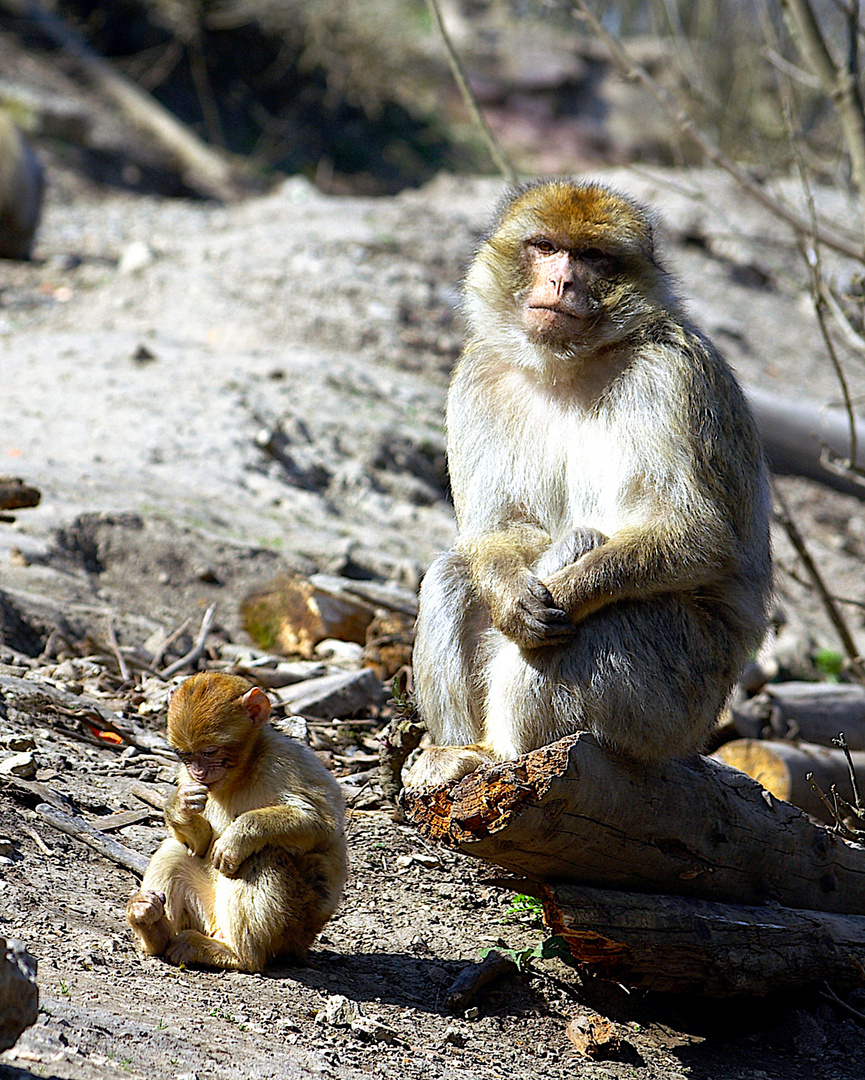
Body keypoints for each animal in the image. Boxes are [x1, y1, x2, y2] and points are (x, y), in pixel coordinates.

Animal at [125, 673, 347, 972]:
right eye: (186, 755)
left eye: (210, 752)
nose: (199, 772)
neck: (244, 769)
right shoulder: (185, 775)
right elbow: (199, 844)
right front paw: (180, 807)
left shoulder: (286, 760)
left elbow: (322, 825)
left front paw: (239, 835)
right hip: (207, 911)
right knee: (174, 850)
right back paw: (153, 928)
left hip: (292, 932)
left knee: (261, 855)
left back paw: (238, 955)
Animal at [408, 177, 773, 786]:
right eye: (546, 247)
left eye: (592, 257)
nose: (563, 281)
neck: (569, 364)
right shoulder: (477, 374)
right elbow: (498, 530)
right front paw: (512, 599)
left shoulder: (672, 376)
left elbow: (697, 535)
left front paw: (570, 592)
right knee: (453, 572)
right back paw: (456, 751)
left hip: (672, 699)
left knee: (599, 584)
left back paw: (506, 752)